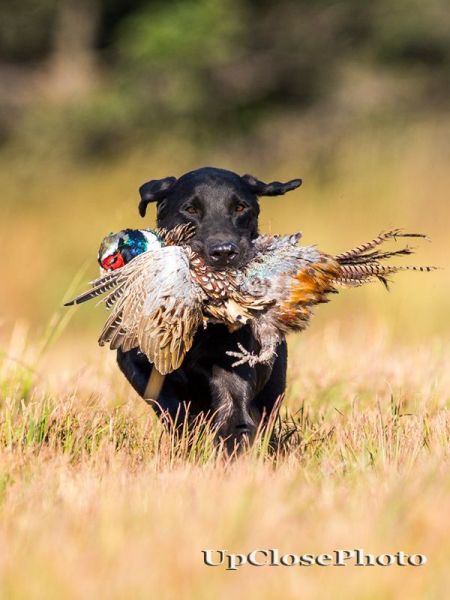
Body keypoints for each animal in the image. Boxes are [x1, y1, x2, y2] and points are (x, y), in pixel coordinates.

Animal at [116, 166, 300, 448]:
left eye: (240, 207)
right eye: (190, 209)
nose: (223, 252)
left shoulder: (233, 368)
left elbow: (234, 414)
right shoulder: (133, 361)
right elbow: (167, 401)